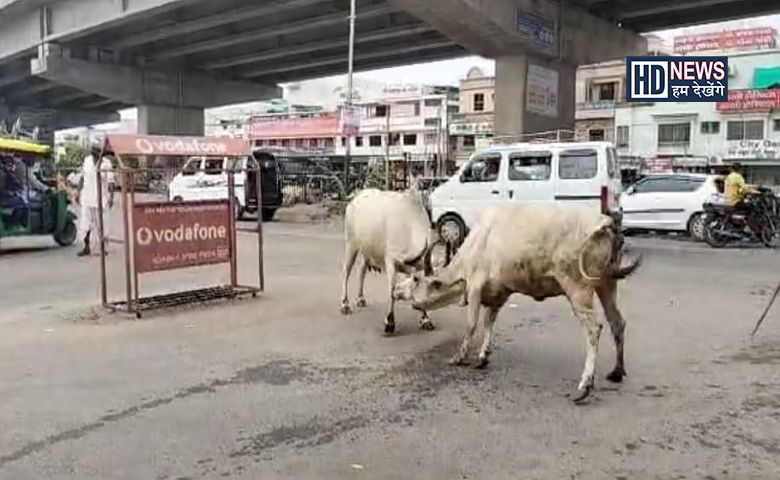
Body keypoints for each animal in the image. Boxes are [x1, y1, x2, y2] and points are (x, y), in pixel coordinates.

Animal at [342, 186, 438, 336]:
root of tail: (356, 196)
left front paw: (426, 320)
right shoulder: (390, 261)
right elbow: (392, 291)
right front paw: (389, 322)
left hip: (366, 250)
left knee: (362, 270)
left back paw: (361, 298)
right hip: (351, 244)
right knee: (346, 272)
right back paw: (345, 305)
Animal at [394, 205, 644, 402]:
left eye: (416, 280)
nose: (396, 290)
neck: (478, 241)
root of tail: (606, 223)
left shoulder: (475, 287)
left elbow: (472, 325)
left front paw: (459, 357)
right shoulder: (499, 293)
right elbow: (488, 323)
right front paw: (483, 356)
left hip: (578, 287)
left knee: (594, 328)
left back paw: (585, 385)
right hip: (607, 283)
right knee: (617, 322)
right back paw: (617, 372)